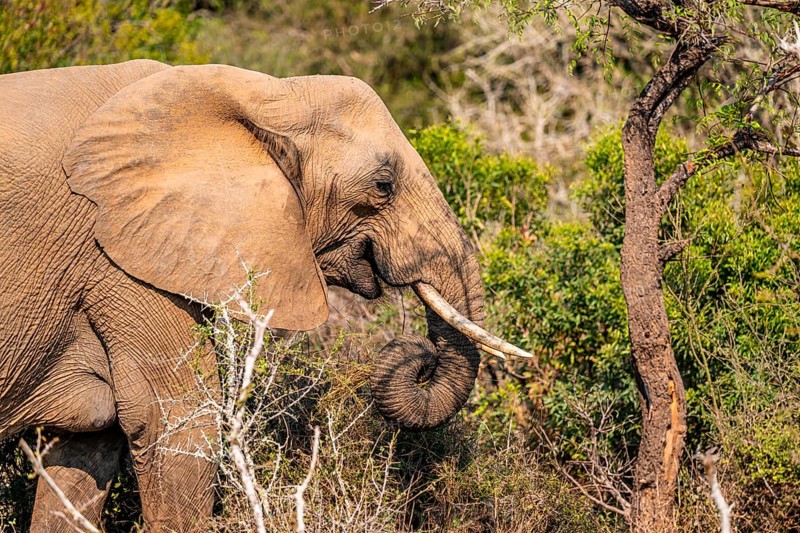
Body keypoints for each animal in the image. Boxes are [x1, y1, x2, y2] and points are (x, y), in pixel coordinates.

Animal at [0, 60, 529, 531]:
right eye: (383, 185)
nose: (419, 356)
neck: (266, 92)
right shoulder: (116, 259)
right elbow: (176, 422)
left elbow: (88, 446)